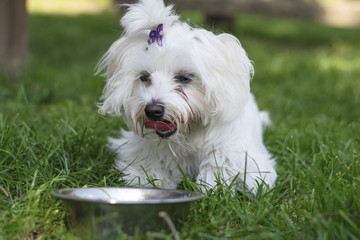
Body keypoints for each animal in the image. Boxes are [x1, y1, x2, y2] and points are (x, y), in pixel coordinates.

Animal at [97, 0, 278, 194]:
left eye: (184, 78)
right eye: (144, 77)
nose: (153, 110)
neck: (188, 137)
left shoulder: (237, 154)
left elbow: (219, 164)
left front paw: (211, 185)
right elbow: (150, 164)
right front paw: (150, 180)